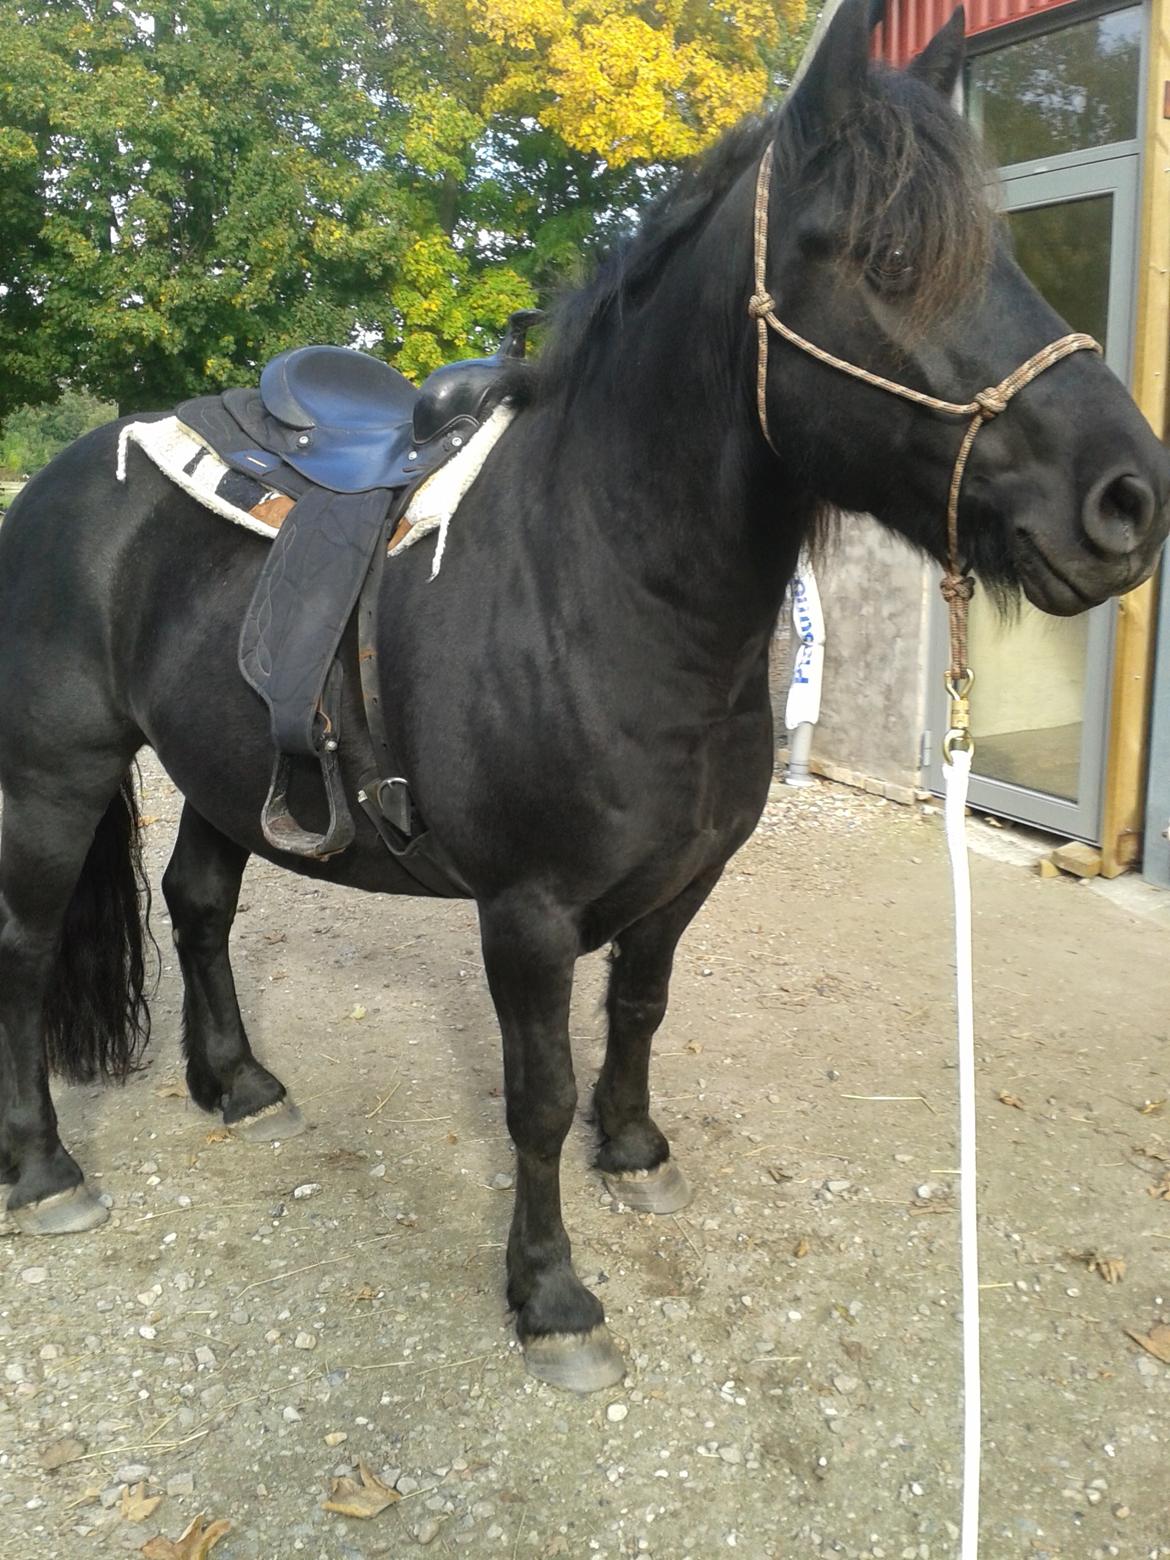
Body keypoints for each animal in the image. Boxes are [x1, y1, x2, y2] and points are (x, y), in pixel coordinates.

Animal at [2, 0, 1170, 1391]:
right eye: (893, 257)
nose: (1131, 496)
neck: (607, 584)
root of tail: (68, 476)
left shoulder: (685, 880)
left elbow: (642, 1012)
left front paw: (638, 1153)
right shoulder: (528, 913)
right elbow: (537, 1096)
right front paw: (552, 1297)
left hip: (226, 770)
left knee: (197, 904)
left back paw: (237, 1085)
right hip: (57, 773)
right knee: (23, 950)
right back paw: (46, 1170)